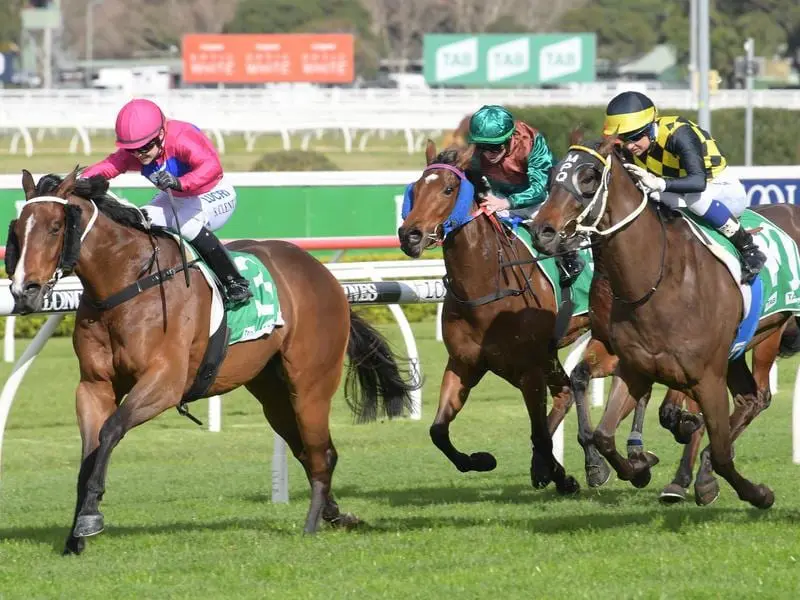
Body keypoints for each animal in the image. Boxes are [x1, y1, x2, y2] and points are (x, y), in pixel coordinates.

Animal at [6, 168, 416, 552]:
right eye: (17, 229)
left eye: (56, 227)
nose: (24, 291)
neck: (126, 284)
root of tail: (325, 276)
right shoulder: (94, 386)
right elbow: (89, 453)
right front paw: (75, 534)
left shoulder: (164, 383)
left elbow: (110, 432)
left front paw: (90, 518)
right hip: (273, 393)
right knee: (308, 450)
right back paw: (336, 515)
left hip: (310, 386)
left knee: (321, 452)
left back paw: (312, 522)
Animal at [528, 137, 800, 506]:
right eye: (554, 173)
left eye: (589, 177)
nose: (541, 231)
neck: (654, 282)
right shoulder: (632, 363)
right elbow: (602, 430)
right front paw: (635, 467)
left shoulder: (703, 374)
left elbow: (701, 432)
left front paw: (754, 492)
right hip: (738, 349)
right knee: (750, 400)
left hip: (767, 337)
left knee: (755, 400)